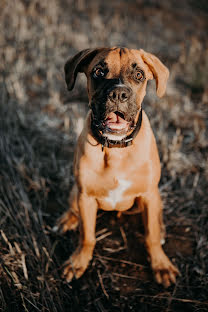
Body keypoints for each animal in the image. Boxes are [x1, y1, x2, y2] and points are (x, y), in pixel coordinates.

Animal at [56, 47, 180, 288]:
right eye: (98, 71)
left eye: (139, 75)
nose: (118, 94)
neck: (115, 149)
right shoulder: (86, 197)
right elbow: (87, 236)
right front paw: (78, 262)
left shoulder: (149, 194)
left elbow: (151, 236)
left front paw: (161, 265)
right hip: (77, 192)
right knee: (73, 206)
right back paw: (68, 219)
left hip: (153, 197)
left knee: (156, 220)